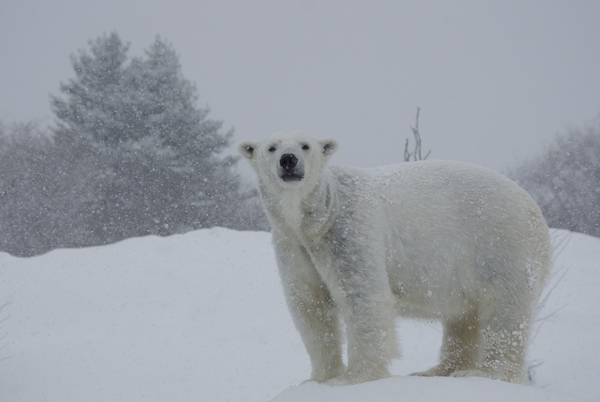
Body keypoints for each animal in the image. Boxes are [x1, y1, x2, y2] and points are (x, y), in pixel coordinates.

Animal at [237, 133, 552, 386]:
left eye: (305, 145)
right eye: (271, 147)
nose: (289, 160)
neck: (315, 219)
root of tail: (534, 209)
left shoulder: (350, 230)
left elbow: (364, 297)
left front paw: (352, 378)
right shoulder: (293, 245)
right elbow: (309, 305)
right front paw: (319, 378)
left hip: (499, 245)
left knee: (504, 311)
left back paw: (483, 373)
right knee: (463, 319)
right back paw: (437, 371)